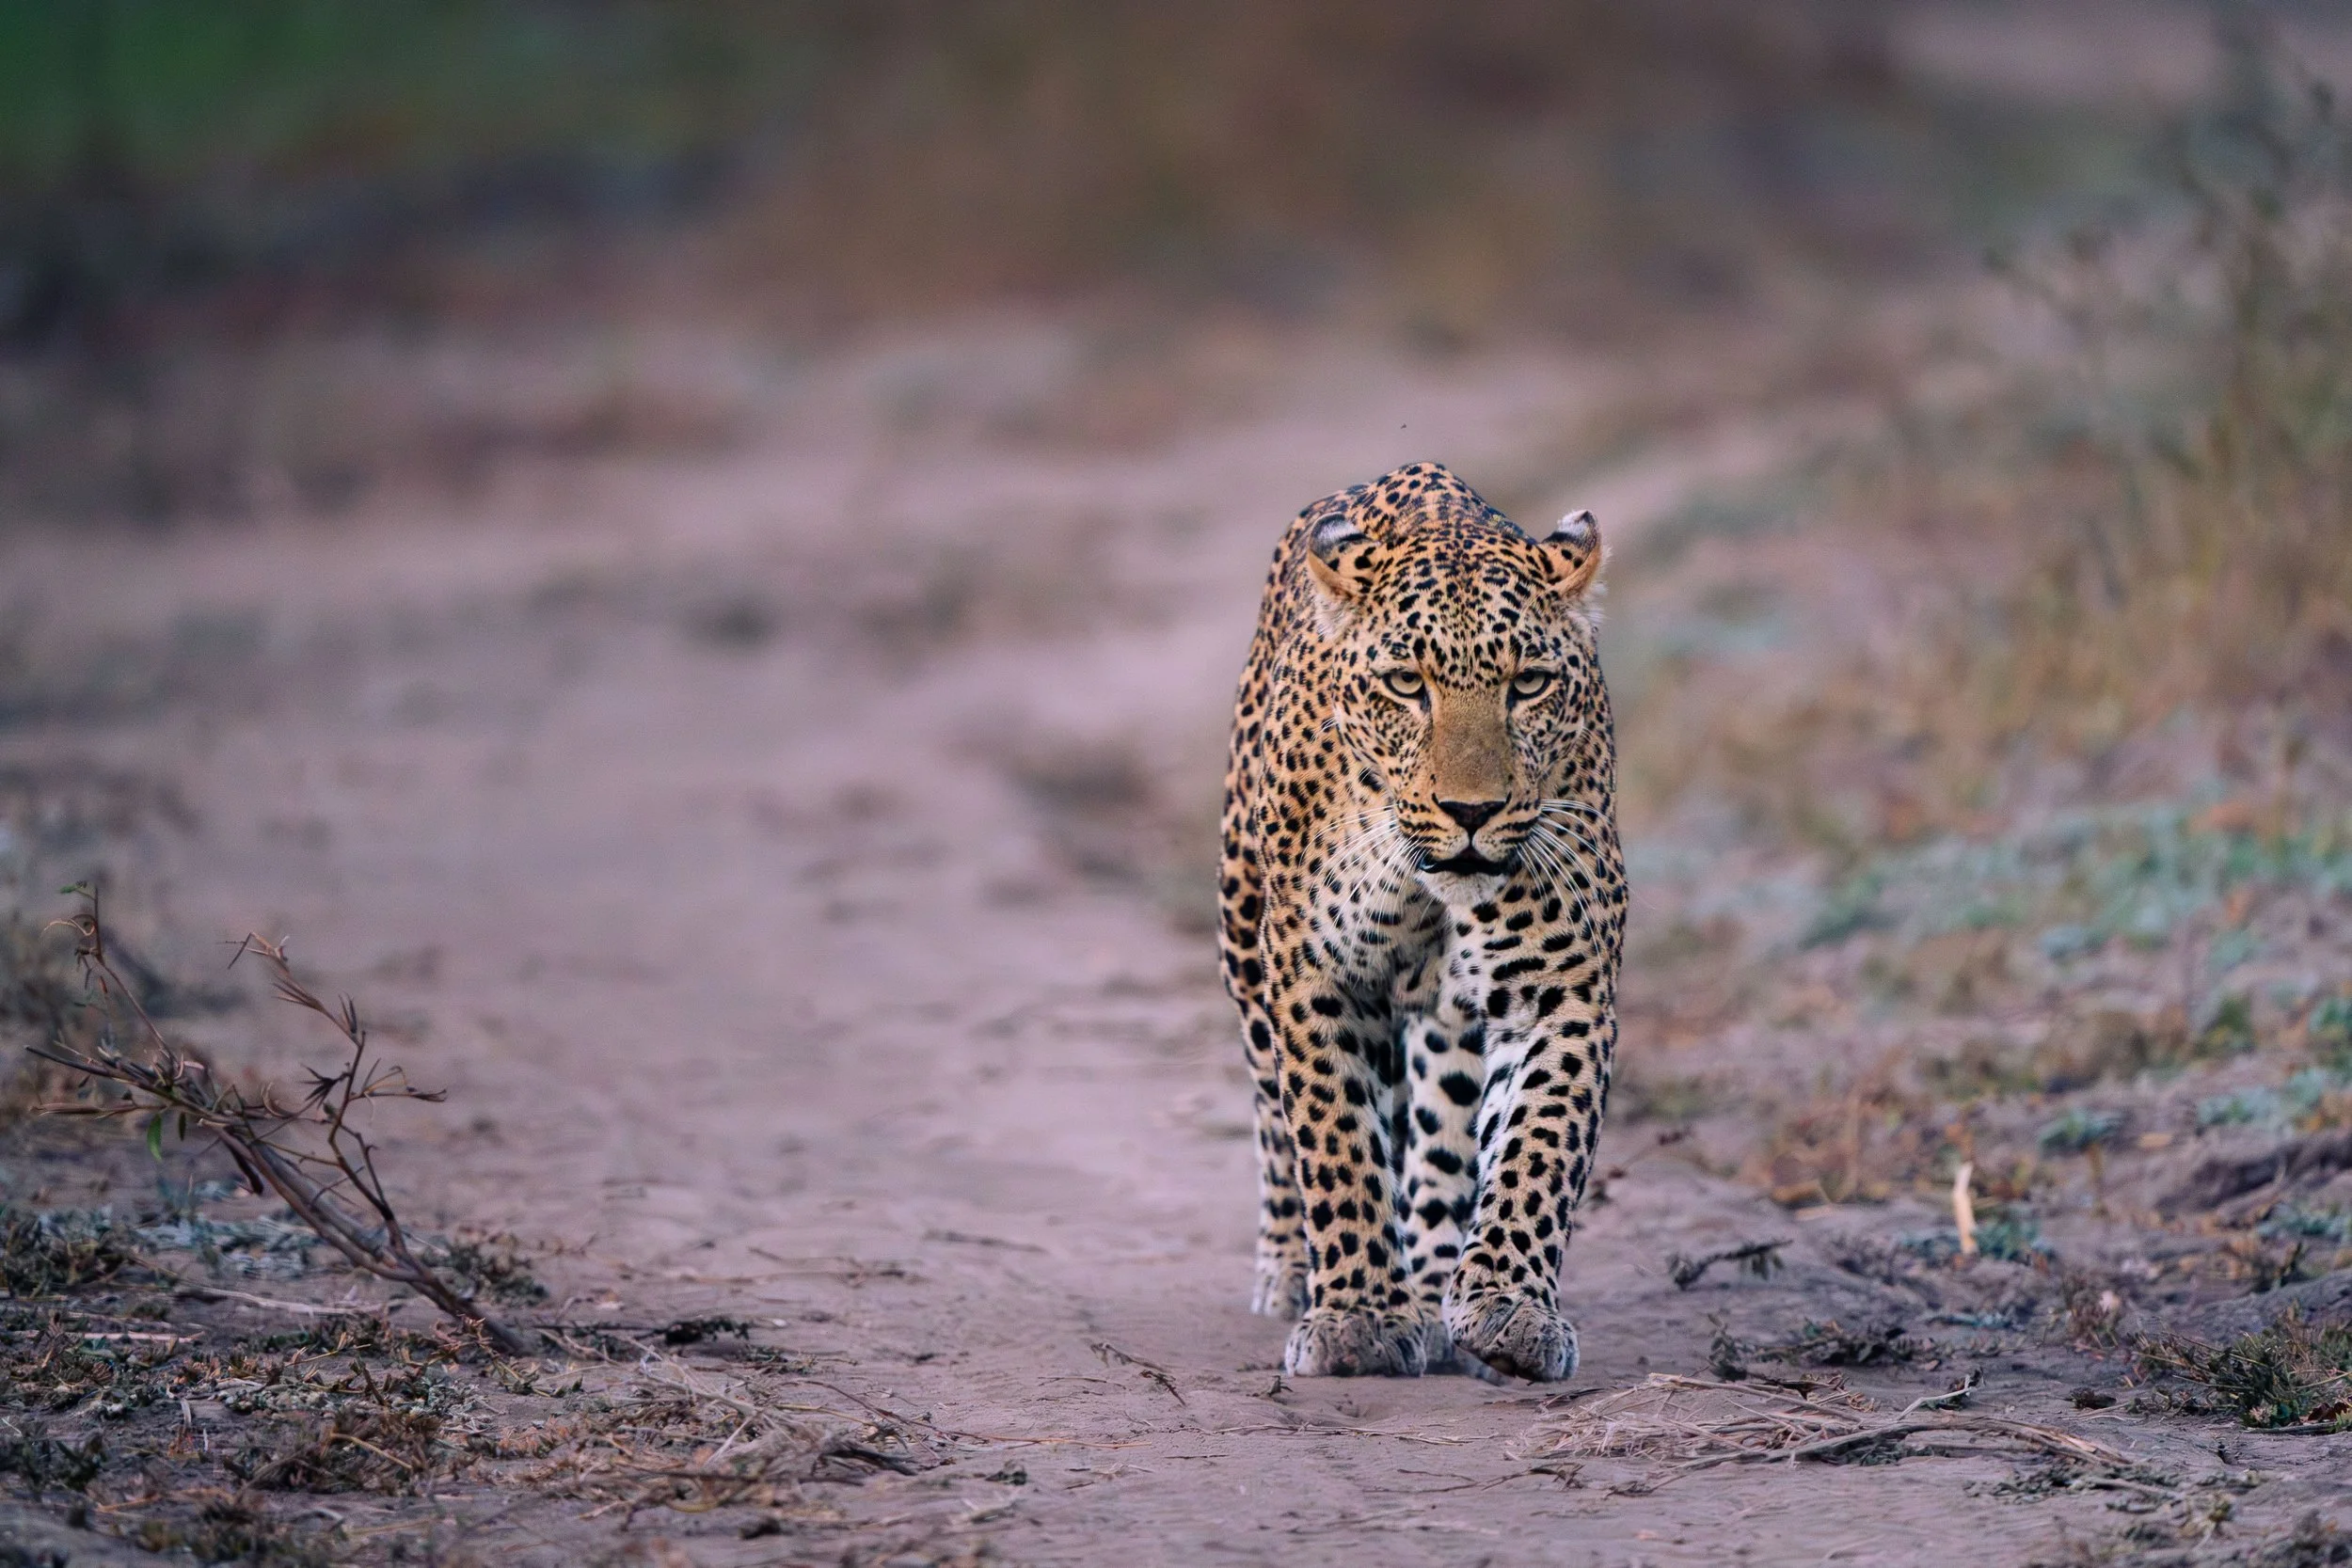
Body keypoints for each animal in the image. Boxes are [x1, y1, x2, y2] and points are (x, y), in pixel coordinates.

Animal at [1217, 459, 1626, 1382]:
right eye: (1408, 684)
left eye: (1528, 683)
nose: (1470, 812)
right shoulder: (1314, 975)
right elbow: (1334, 1140)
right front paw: (1358, 1318)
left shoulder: (1561, 986)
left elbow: (1537, 1143)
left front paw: (1507, 1306)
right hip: (1243, 937)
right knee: (1272, 1121)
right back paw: (1289, 1270)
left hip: (1448, 1015)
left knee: (1441, 1134)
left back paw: (1440, 1283)